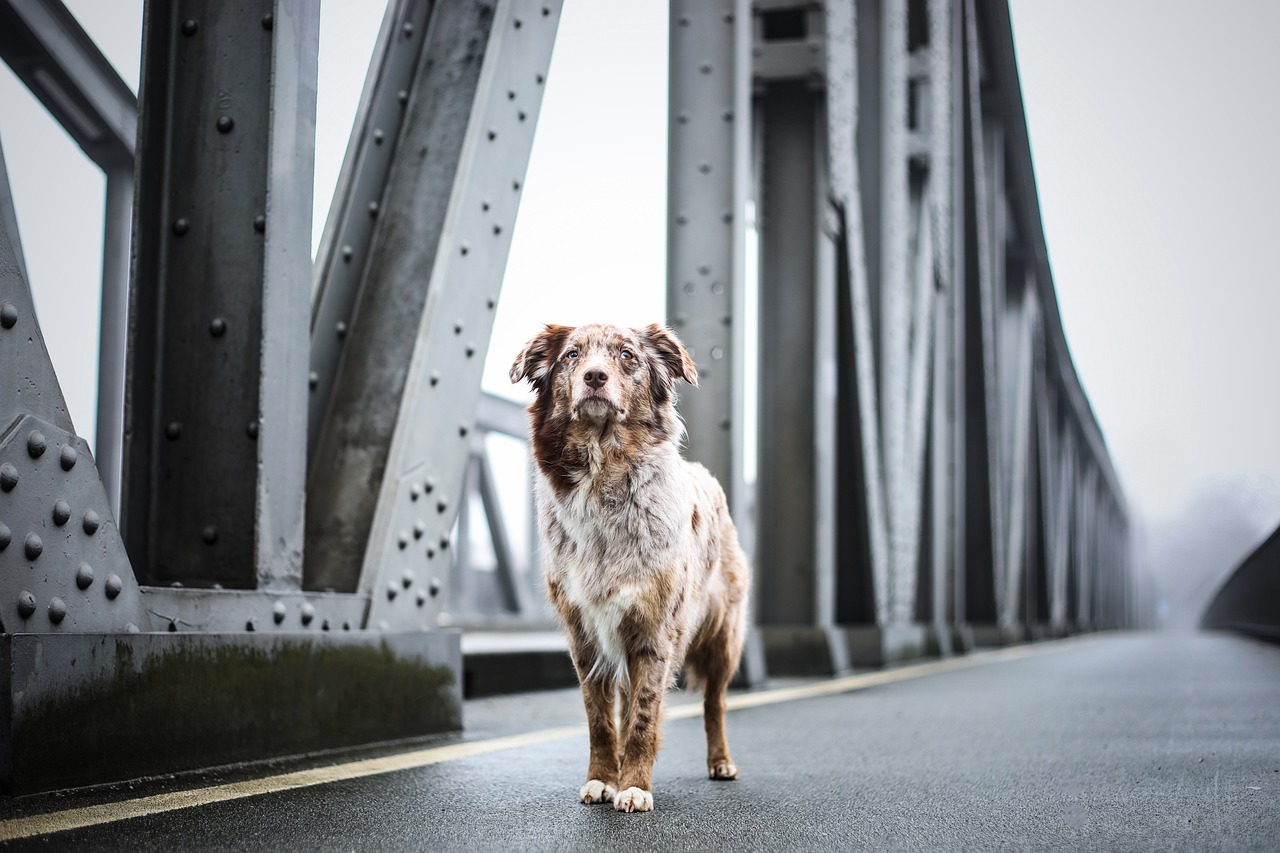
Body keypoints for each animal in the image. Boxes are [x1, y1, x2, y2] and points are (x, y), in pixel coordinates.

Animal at [509, 324, 747, 809]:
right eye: (572, 355)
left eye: (627, 355)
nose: (594, 377)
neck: (603, 475)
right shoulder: (585, 635)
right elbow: (600, 720)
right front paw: (603, 779)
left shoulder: (655, 633)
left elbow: (642, 717)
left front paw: (635, 786)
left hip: (723, 636)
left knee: (714, 702)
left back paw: (720, 762)